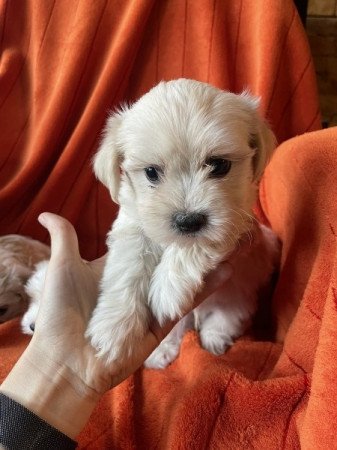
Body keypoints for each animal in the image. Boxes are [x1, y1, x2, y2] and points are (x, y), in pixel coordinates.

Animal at [86, 78, 278, 370]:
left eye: (219, 165)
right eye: (151, 172)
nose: (188, 221)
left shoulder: (235, 219)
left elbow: (197, 244)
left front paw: (167, 288)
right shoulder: (132, 222)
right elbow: (128, 264)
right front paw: (114, 327)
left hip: (238, 294)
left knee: (228, 316)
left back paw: (213, 339)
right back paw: (161, 351)